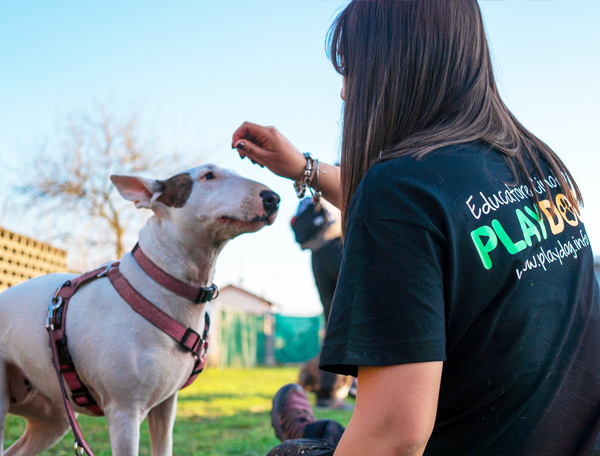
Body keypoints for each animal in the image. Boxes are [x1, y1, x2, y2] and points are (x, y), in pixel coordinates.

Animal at [0, 165, 278, 456]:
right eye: (208, 175)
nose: (274, 198)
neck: (161, 284)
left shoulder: (166, 406)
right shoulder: (125, 413)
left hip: (53, 415)